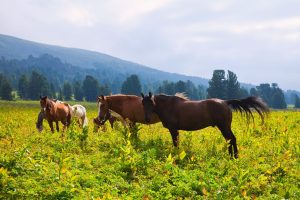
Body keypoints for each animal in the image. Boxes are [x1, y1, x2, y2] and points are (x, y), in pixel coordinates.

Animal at [141, 92, 270, 158]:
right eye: (143, 103)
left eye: (151, 102)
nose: (147, 119)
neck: (169, 105)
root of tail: (225, 102)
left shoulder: (173, 129)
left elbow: (176, 143)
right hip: (226, 127)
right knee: (231, 139)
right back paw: (233, 156)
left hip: (223, 127)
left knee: (230, 139)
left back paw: (233, 156)